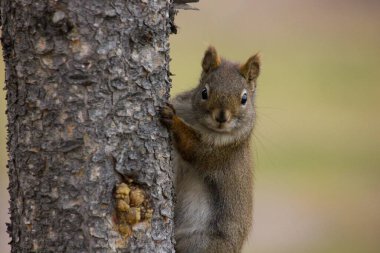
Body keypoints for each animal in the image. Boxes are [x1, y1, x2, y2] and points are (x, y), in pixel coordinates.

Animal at [160, 46, 262, 253]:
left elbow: (194, 148)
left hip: (203, 244)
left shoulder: (220, 152)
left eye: (244, 98)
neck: (201, 124)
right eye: (204, 92)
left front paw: (173, 119)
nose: (222, 117)